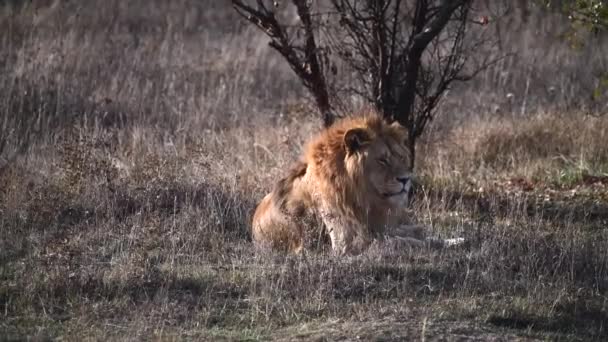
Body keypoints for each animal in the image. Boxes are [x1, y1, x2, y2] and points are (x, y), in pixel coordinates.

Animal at [252, 113, 452, 255]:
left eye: (401, 157)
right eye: (382, 160)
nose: (405, 179)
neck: (363, 198)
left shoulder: (378, 227)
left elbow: (417, 233)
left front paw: (449, 241)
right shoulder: (346, 246)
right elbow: (401, 243)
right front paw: (437, 245)